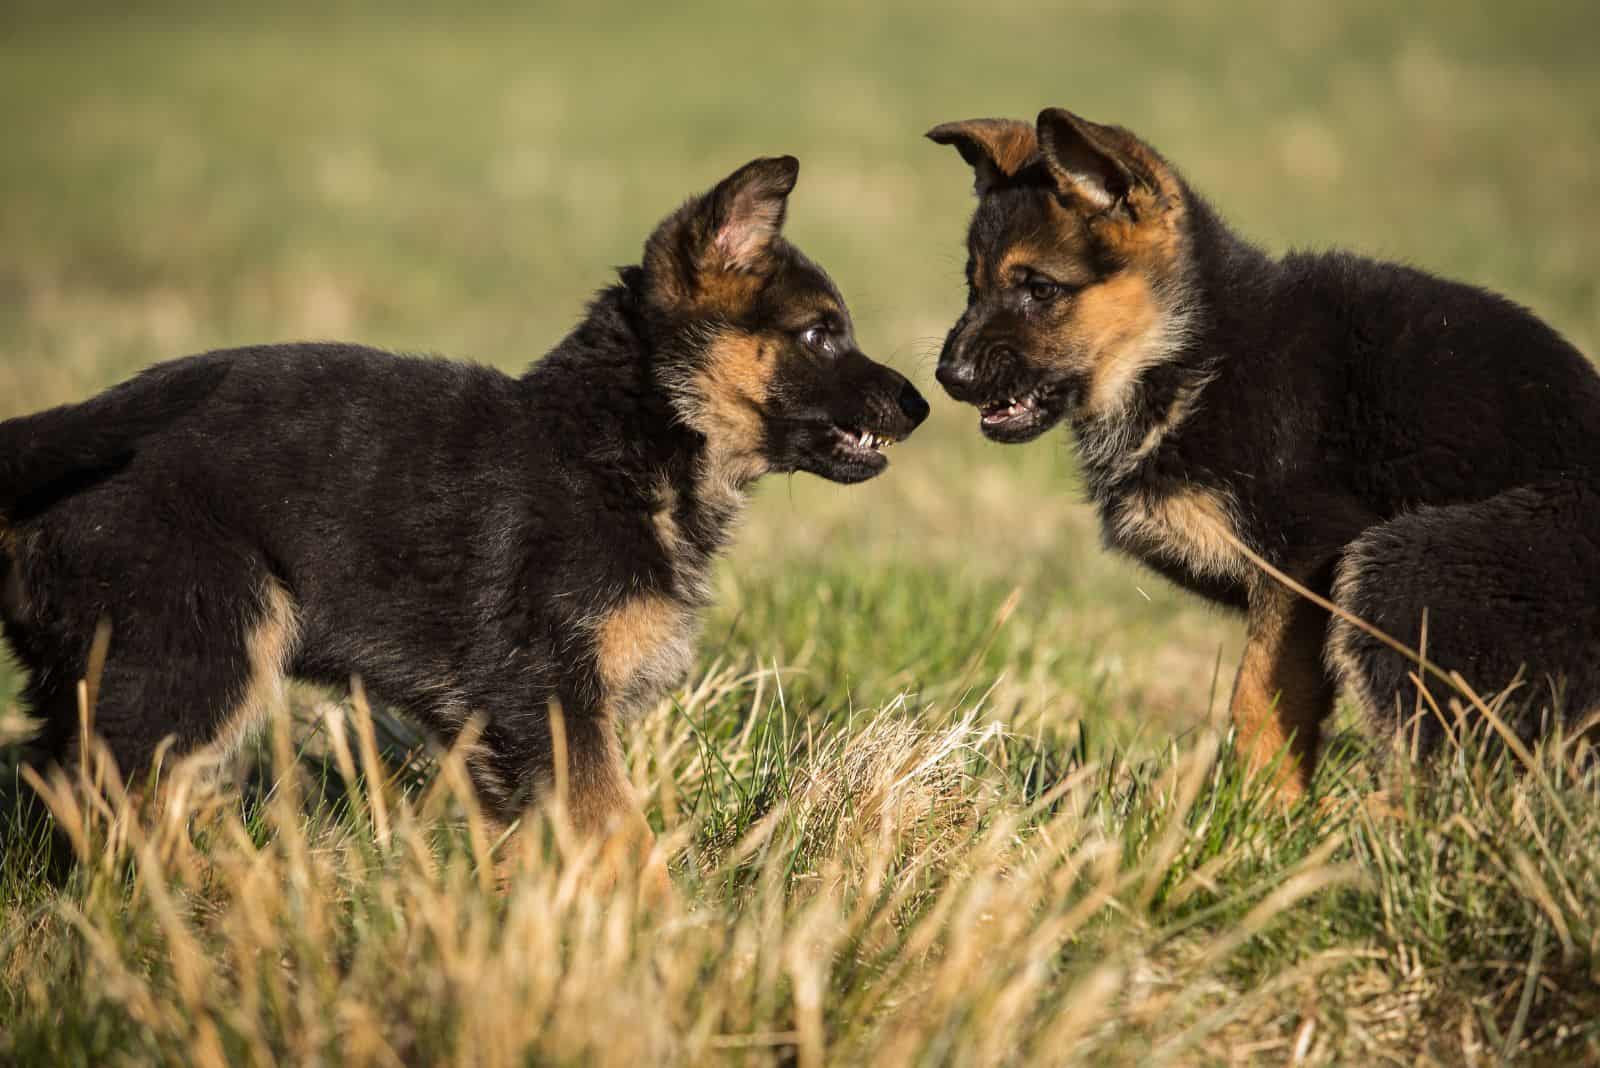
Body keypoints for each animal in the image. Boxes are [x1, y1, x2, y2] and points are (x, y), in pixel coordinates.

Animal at [0, 151, 928, 869]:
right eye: (819, 334)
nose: (922, 404)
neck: (614, 443)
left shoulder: (497, 737)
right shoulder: (552, 705)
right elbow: (622, 839)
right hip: (198, 649)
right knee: (111, 795)